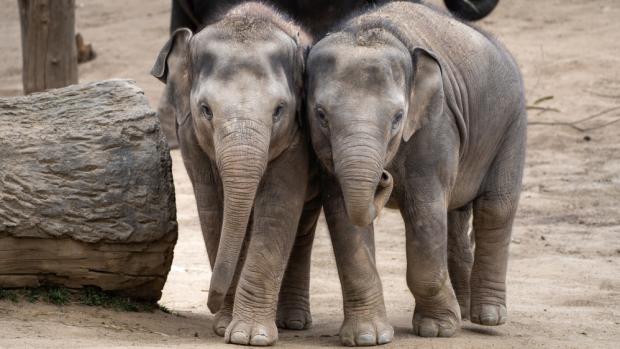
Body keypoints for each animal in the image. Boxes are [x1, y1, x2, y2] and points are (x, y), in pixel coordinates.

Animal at [151, 3, 320, 346]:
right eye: (206, 109)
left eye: (279, 110)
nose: (210, 302)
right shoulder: (190, 138)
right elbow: (212, 211)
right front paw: (224, 326)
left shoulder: (298, 138)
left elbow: (278, 208)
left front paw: (249, 336)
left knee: (304, 225)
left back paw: (293, 322)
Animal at [306, 0, 524, 342]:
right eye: (321, 115)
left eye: (398, 117)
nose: (384, 176)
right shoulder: (323, 152)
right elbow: (343, 217)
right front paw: (367, 337)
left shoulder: (435, 126)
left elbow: (424, 210)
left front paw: (436, 329)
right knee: (456, 216)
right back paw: (464, 311)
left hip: (511, 124)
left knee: (495, 209)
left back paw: (487, 317)